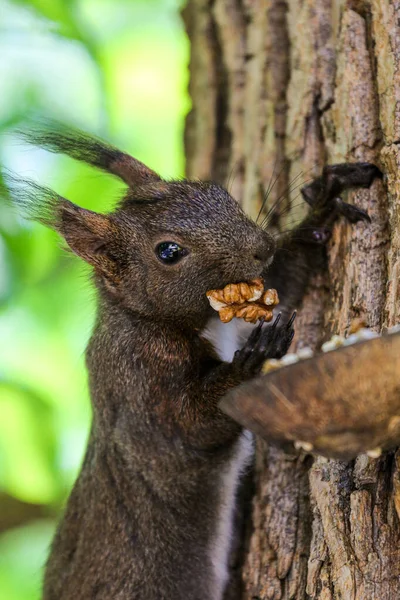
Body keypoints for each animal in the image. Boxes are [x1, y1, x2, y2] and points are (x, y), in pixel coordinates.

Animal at [5, 124, 382, 596]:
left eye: (215, 190)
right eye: (168, 252)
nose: (262, 247)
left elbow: (284, 279)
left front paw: (320, 213)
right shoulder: (144, 387)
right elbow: (195, 426)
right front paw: (250, 362)